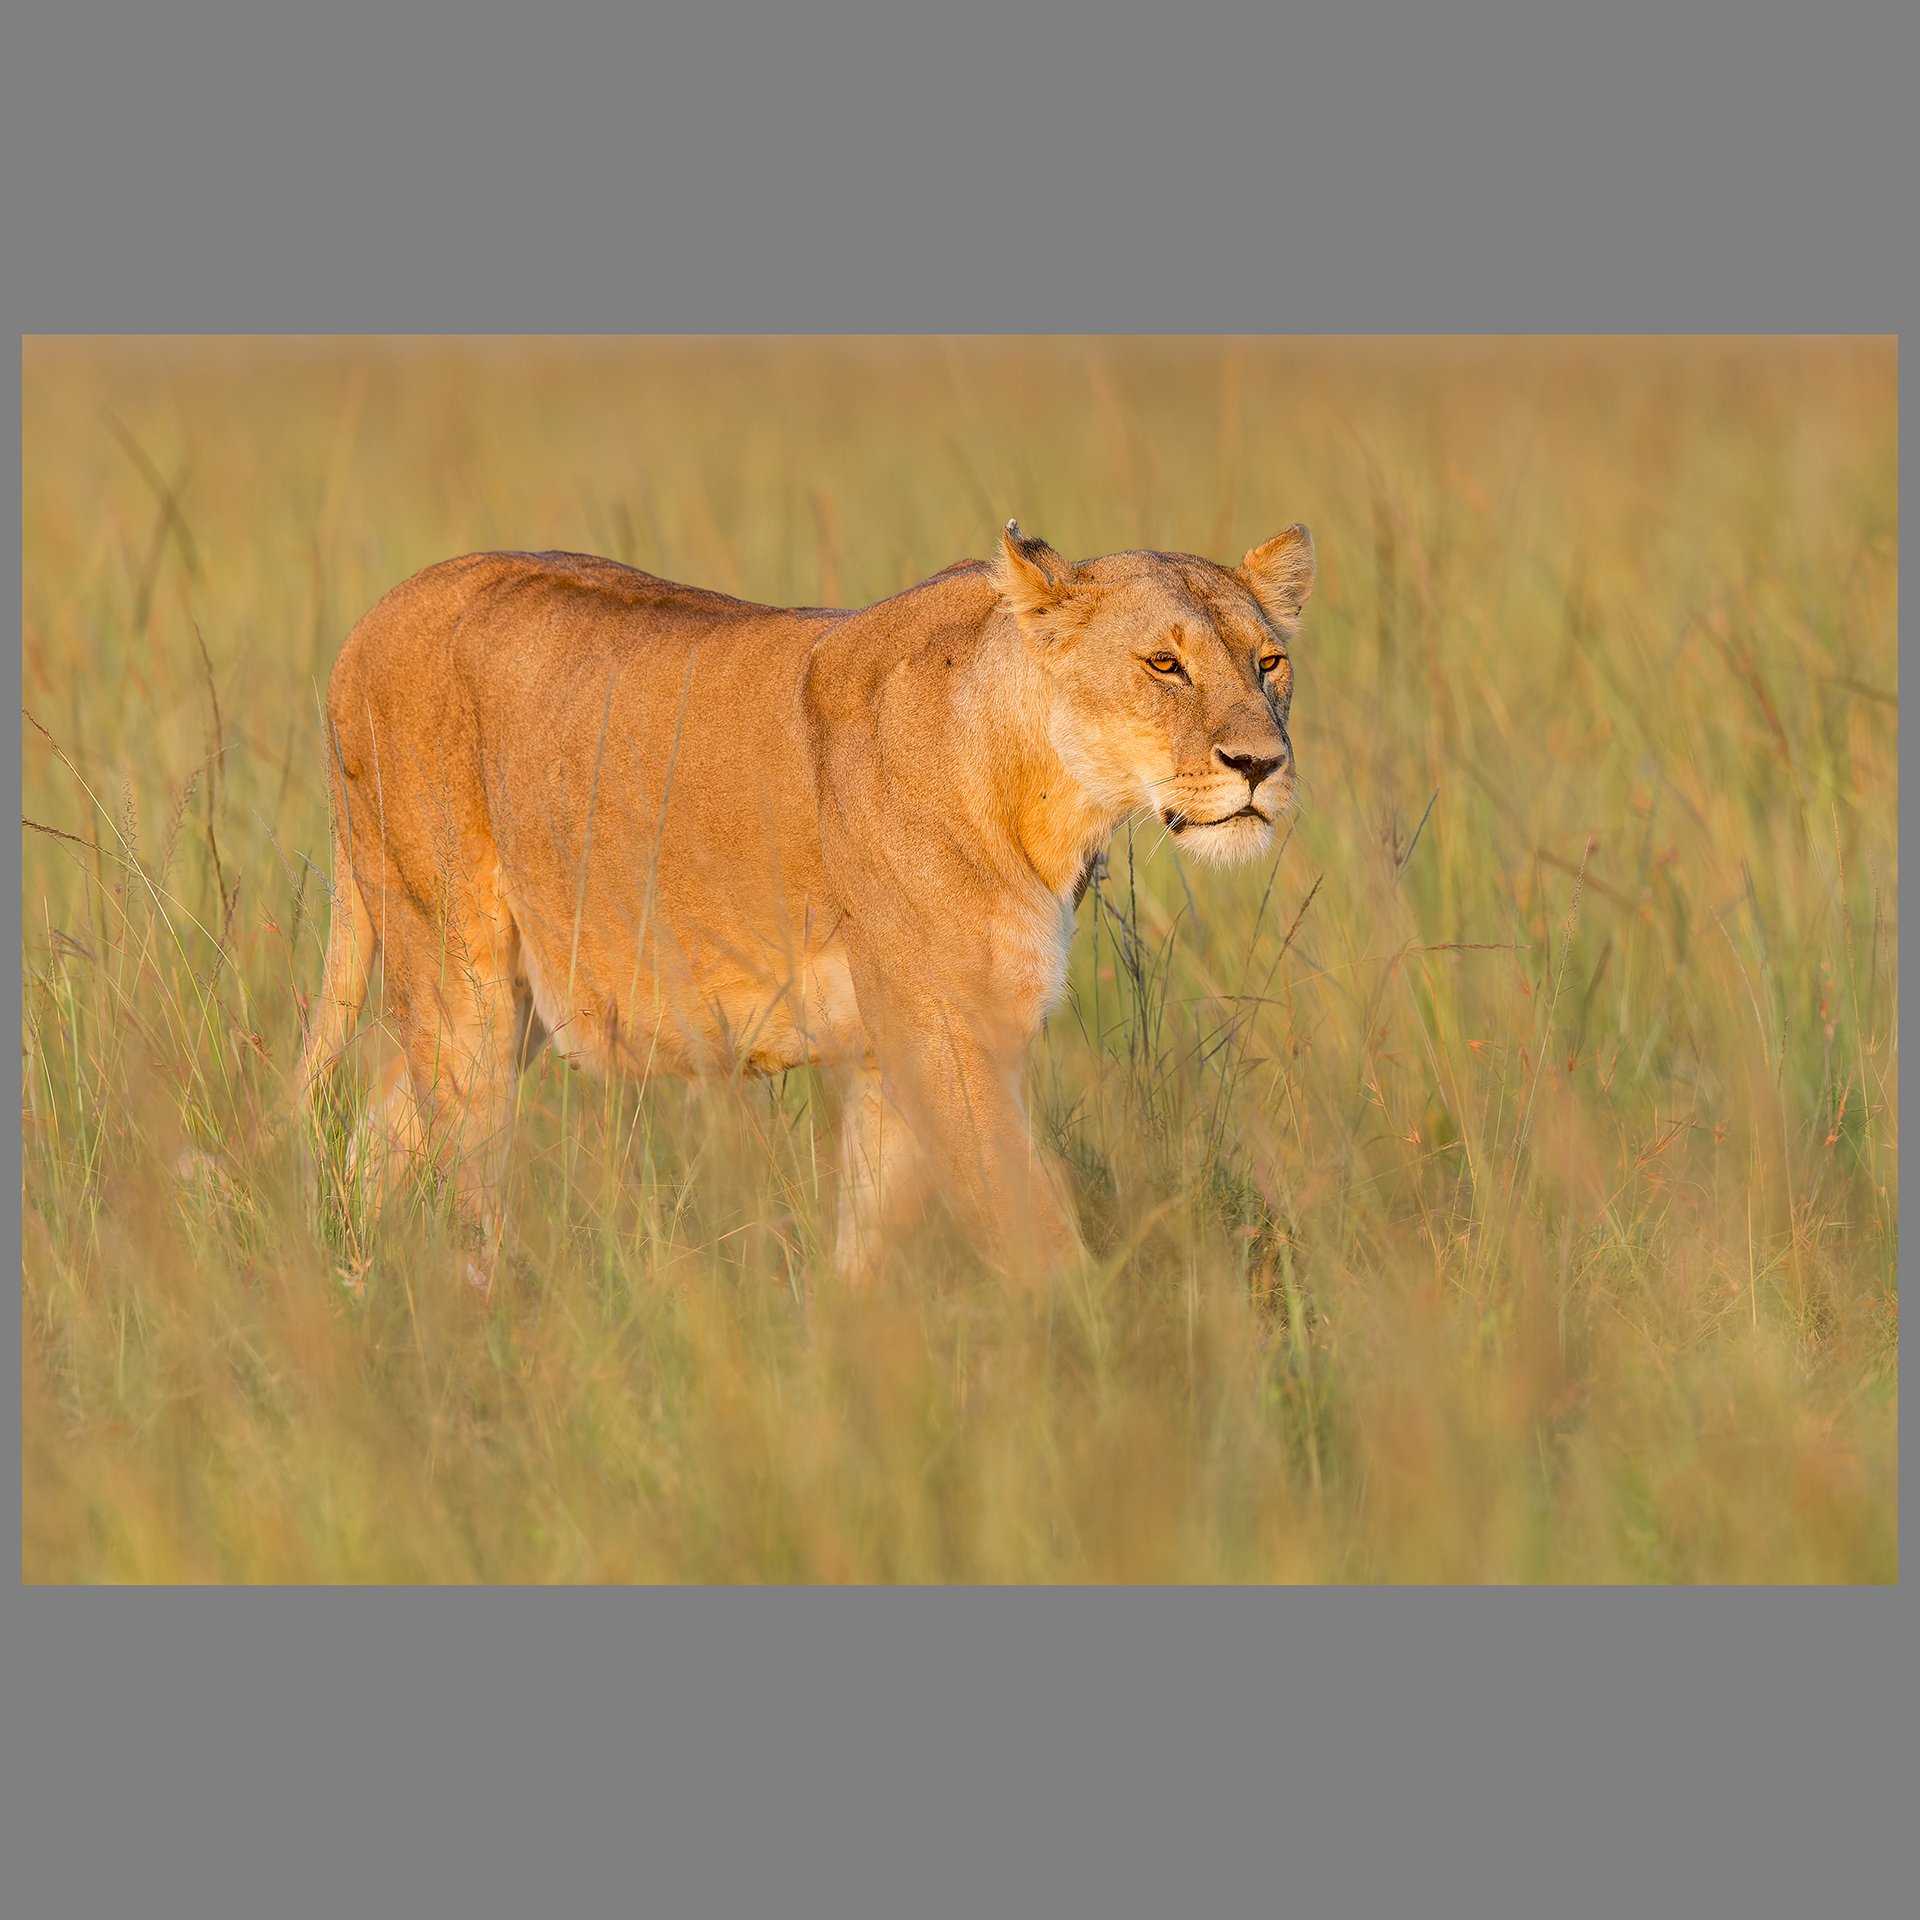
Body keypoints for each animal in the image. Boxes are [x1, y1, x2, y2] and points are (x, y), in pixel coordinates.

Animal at [297, 518, 1314, 1286]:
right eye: (1164, 666)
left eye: (1268, 663)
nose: (1261, 764)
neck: (1049, 797)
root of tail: (367, 622)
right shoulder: (943, 1034)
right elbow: (1034, 1230)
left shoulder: (887, 1055)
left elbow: (867, 1250)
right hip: (454, 976)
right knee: (464, 1179)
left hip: (510, 1005)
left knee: (376, 1139)